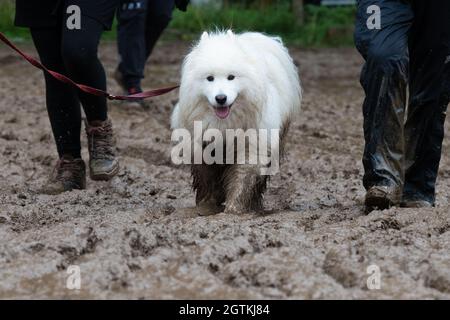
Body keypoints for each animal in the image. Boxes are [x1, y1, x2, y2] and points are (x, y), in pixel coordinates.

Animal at [172, 30, 302, 215]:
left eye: (231, 77)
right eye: (209, 78)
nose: (221, 98)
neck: (225, 124)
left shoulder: (251, 146)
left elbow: (242, 177)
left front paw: (234, 208)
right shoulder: (201, 146)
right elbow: (206, 179)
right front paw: (206, 206)